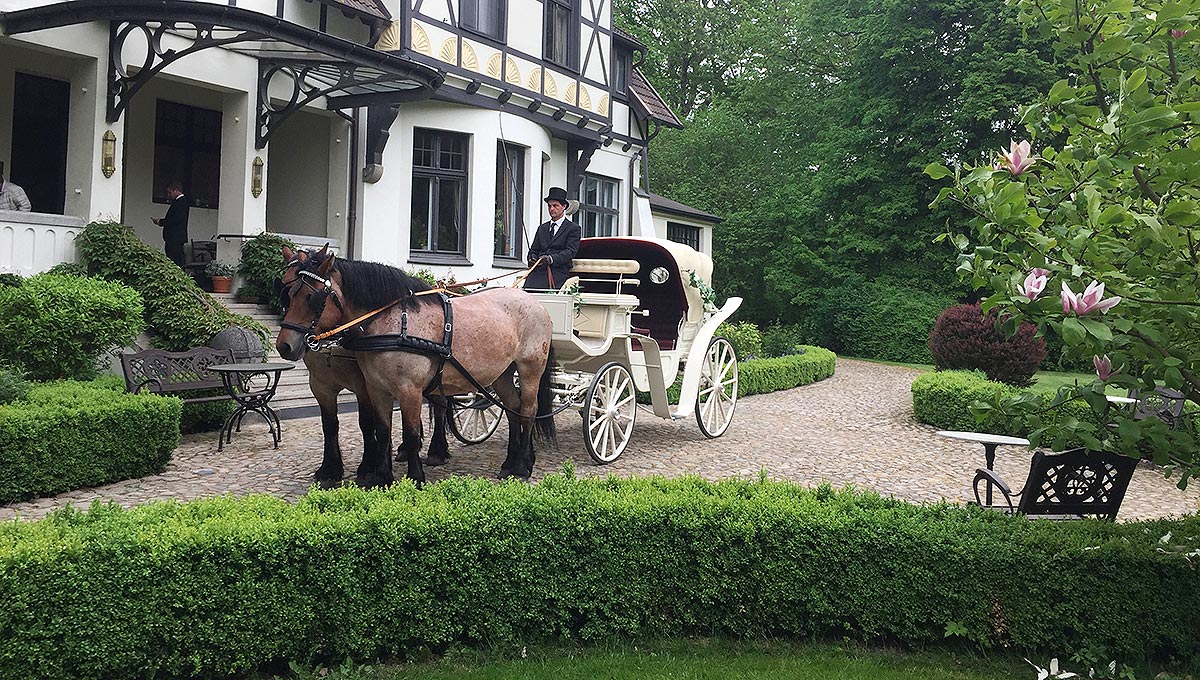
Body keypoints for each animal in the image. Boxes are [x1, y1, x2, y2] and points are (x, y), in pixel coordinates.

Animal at [274, 247, 554, 486]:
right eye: (287, 291)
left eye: (312, 297)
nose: (284, 346)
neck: (394, 323)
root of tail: (534, 301)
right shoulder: (374, 389)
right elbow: (381, 429)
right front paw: (379, 477)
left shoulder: (408, 390)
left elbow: (408, 433)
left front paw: (414, 478)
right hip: (502, 373)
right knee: (512, 408)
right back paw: (510, 463)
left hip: (529, 369)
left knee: (528, 410)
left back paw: (522, 466)